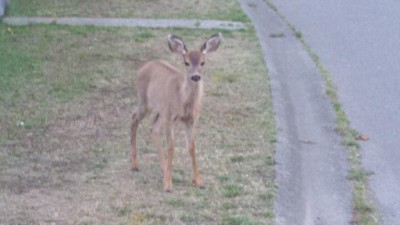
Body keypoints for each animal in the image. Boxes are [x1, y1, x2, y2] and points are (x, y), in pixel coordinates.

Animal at [130, 33, 222, 192]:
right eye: (186, 62)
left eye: (203, 62)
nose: (196, 76)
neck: (183, 101)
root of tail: (143, 67)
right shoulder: (171, 117)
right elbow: (171, 146)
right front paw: (168, 184)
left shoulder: (191, 120)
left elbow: (192, 147)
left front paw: (199, 181)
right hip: (145, 101)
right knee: (134, 118)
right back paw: (134, 165)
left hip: (160, 110)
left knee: (153, 128)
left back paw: (163, 166)